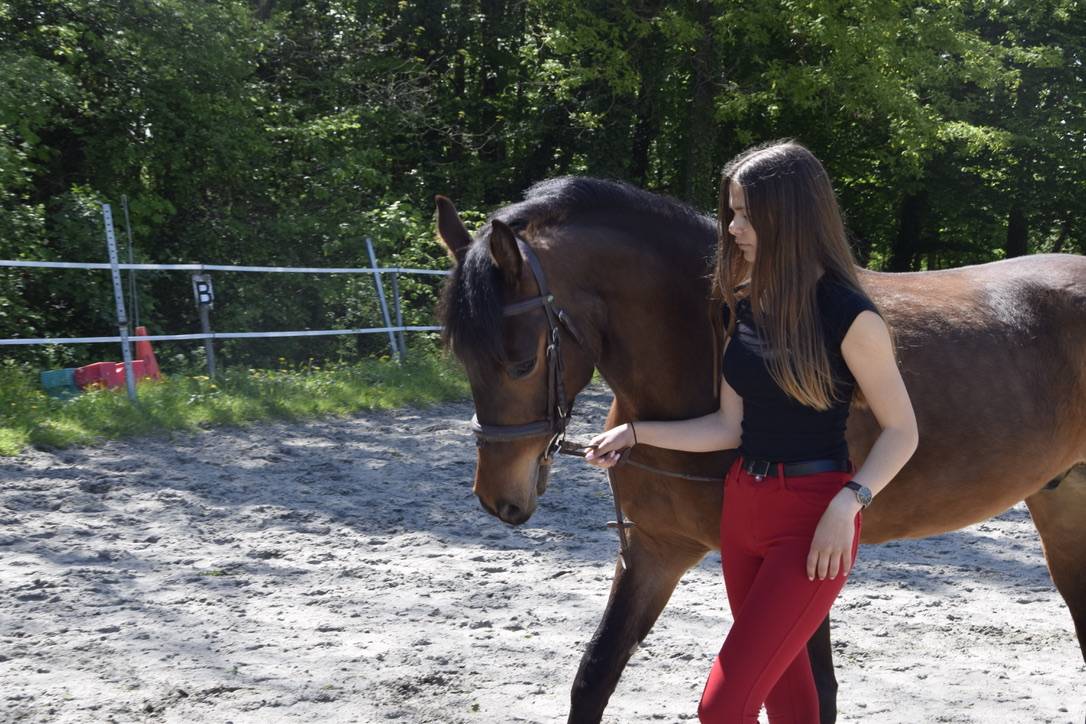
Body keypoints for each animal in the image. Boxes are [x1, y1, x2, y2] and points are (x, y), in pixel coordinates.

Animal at [433, 176, 1086, 723]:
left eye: (521, 362)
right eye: (459, 355)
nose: (497, 498)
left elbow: (815, 694)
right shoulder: (655, 549)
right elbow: (593, 677)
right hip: (1062, 505)